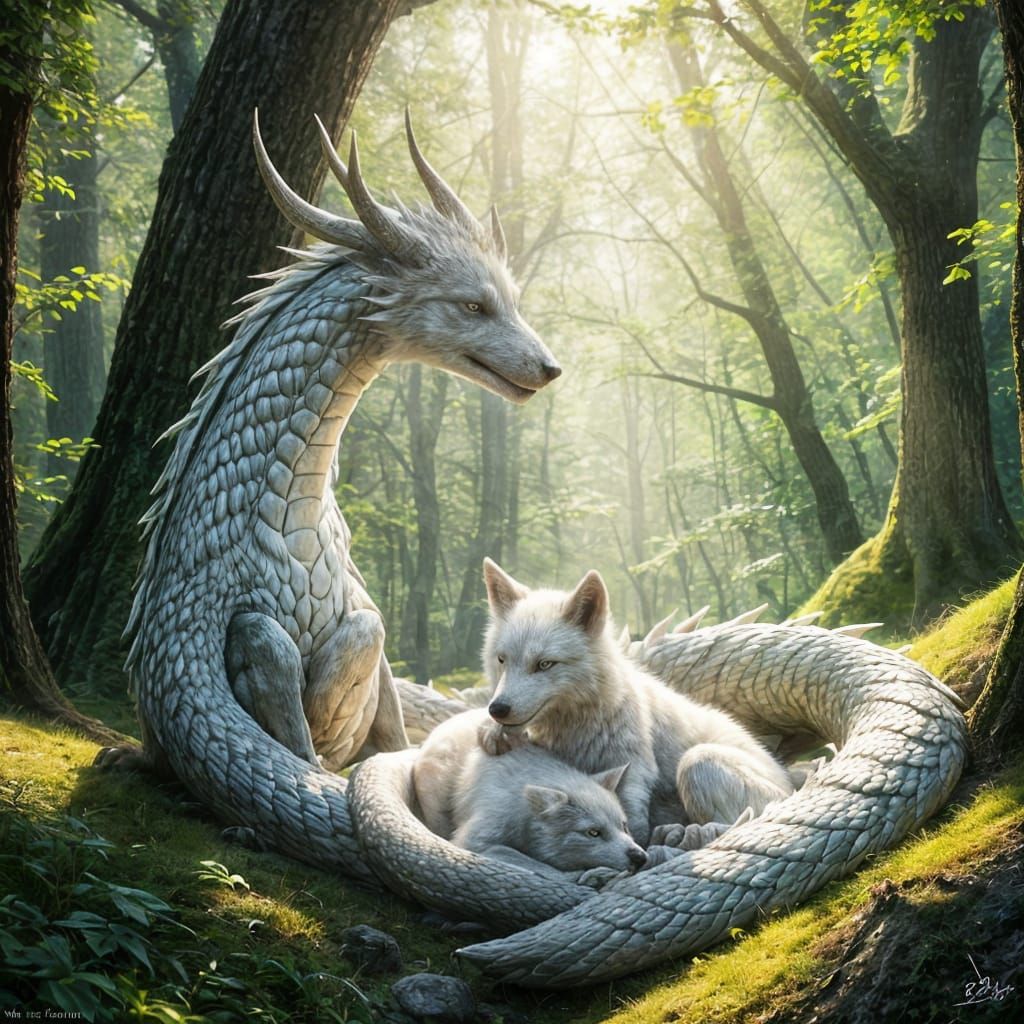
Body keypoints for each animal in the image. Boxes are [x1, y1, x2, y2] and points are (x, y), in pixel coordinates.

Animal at [412, 708, 647, 880]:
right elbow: (529, 862)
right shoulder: (478, 834)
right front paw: (580, 877)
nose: (640, 857)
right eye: (593, 832)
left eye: (624, 825)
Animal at [478, 559, 794, 846]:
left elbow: (630, 819)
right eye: (502, 659)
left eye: (544, 664)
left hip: (699, 762)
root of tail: (789, 784)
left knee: (740, 818)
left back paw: (690, 833)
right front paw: (493, 732)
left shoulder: (633, 772)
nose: (498, 709)